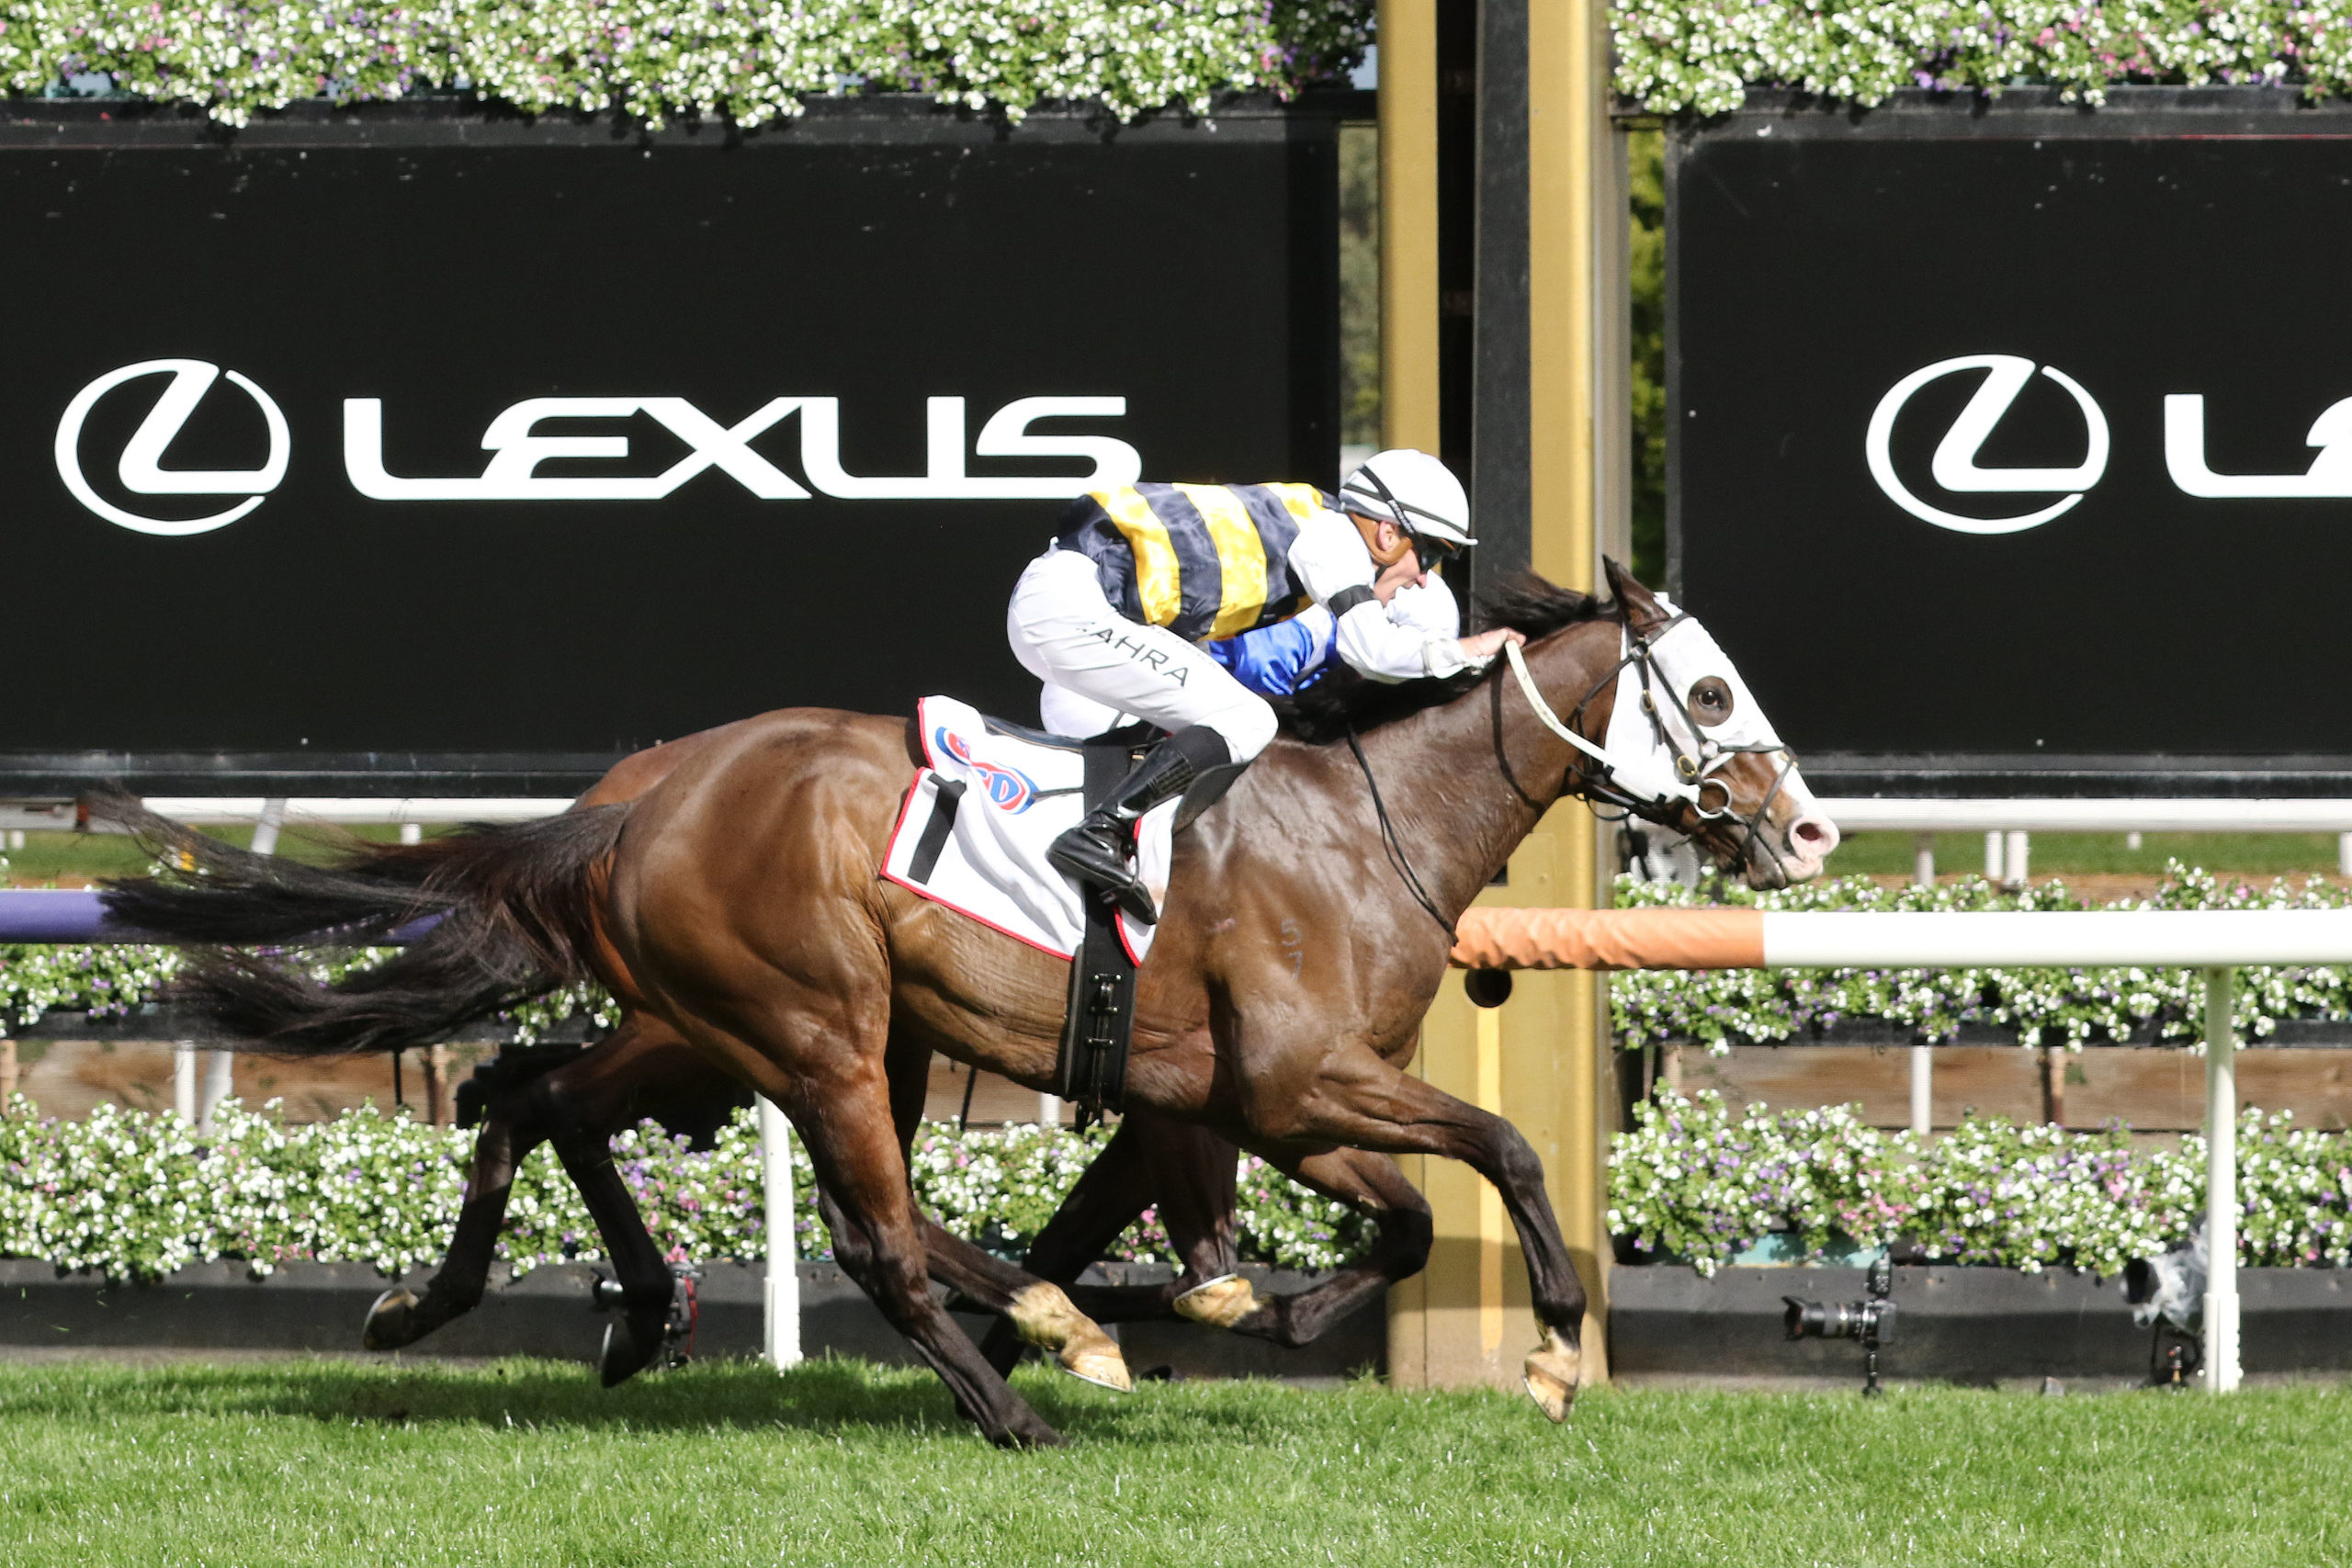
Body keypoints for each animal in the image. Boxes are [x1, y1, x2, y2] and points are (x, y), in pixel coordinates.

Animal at [103, 562, 1836, 1447]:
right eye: (1707, 689)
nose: (1810, 828)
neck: (1364, 818)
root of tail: (635, 799)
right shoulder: (1292, 1085)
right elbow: (1499, 1158)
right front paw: (1547, 1357)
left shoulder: (1214, 1099)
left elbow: (1390, 1222)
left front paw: (1202, 1303)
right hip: (810, 1024)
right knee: (867, 1228)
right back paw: (1017, 1399)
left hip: (768, 1030)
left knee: (530, 1094)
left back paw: (513, 1306)